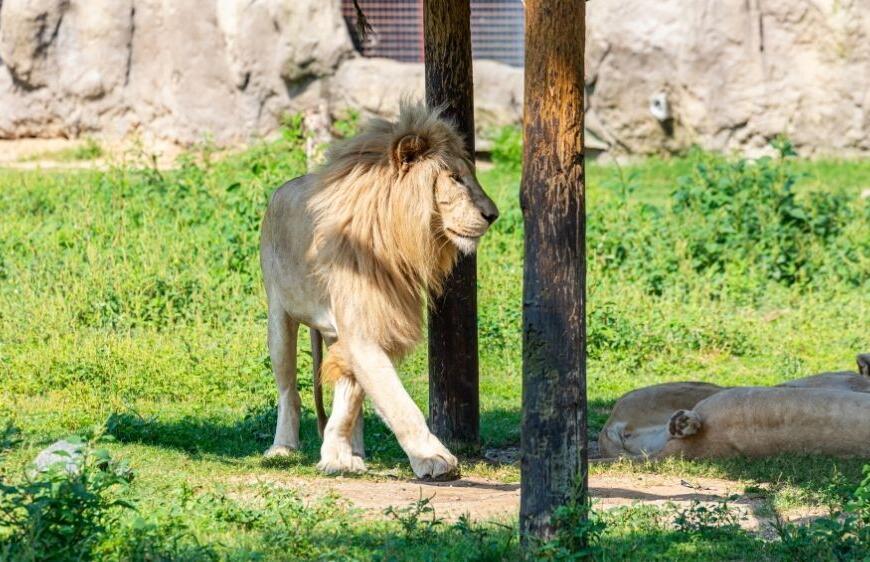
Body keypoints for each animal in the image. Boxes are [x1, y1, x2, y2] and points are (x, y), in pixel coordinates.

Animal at [600, 352, 870, 458]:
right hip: (704, 387)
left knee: (671, 435)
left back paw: (684, 423)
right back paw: (685, 421)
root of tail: (609, 424)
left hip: (652, 439)